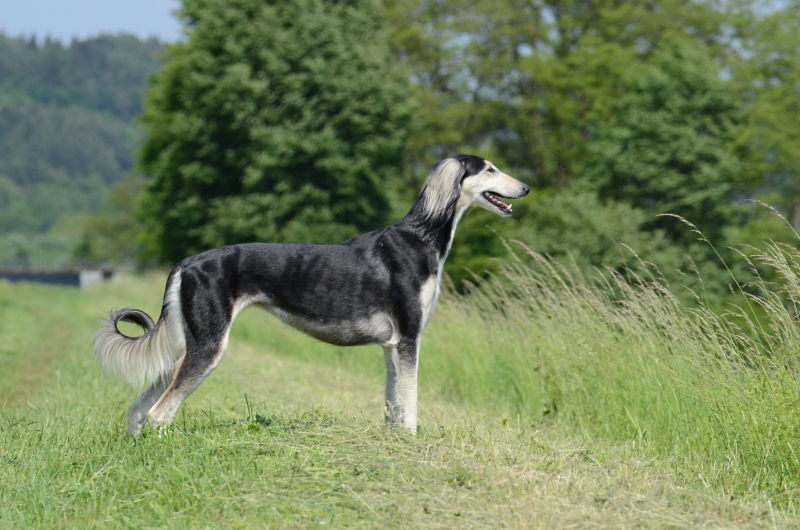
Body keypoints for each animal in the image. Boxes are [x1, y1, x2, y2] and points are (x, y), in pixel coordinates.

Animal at [94, 154, 528, 434]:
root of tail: (187, 262)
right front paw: (413, 441)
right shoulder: (408, 338)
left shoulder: (392, 345)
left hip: (186, 345)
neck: (420, 237)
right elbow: (410, 403)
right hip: (208, 346)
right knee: (159, 413)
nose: (525, 186)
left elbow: (393, 403)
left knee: (138, 408)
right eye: (489, 169)